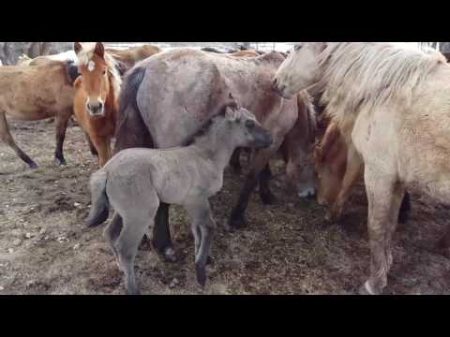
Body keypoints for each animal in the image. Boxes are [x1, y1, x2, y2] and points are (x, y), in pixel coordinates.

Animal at [86, 101, 272, 292]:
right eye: (249, 123)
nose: (270, 139)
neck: (205, 156)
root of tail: (106, 171)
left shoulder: (194, 204)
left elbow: (197, 230)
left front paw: (202, 260)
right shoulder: (197, 200)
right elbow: (208, 227)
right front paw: (200, 273)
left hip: (124, 212)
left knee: (110, 233)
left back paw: (120, 268)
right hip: (141, 214)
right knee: (125, 247)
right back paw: (132, 288)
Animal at [114, 48, 308, 262]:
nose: (308, 194)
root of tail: (145, 67)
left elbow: (262, 171)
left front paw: (266, 194)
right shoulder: (274, 138)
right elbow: (252, 176)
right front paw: (237, 217)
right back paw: (165, 246)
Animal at [272, 41, 450, 294]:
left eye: (298, 47)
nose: (275, 82)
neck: (384, 91)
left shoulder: (379, 173)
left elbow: (375, 226)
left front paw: (373, 283)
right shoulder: (397, 179)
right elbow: (389, 225)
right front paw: (385, 266)